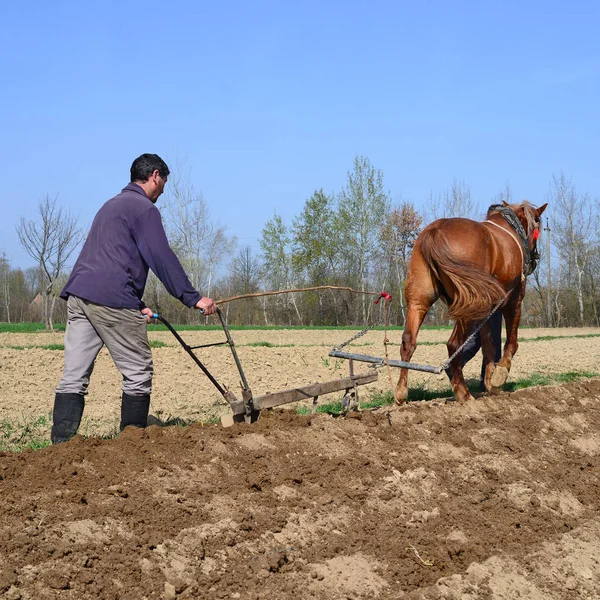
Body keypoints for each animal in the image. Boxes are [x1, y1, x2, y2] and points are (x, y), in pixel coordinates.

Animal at [396, 200, 548, 404]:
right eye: (537, 222)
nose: (535, 258)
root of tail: (435, 231)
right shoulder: (514, 298)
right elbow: (511, 341)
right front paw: (500, 374)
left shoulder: (487, 308)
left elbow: (488, 343)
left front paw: (490, 381)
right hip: (467, 307)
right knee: (453, 344)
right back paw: (463, 393)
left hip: (419, 301)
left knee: (408, 342)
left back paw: (401, 394)